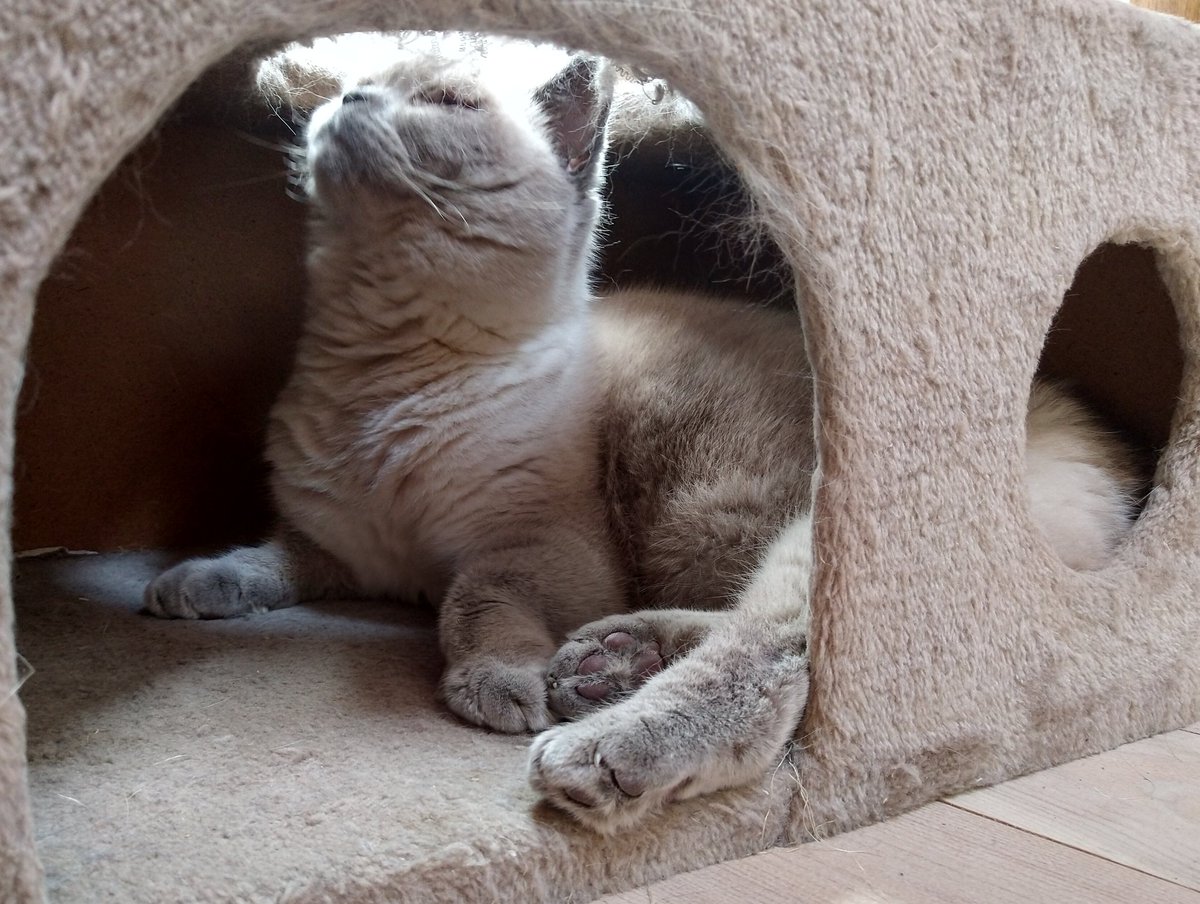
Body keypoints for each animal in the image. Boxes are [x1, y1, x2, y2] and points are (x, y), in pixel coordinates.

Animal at [142, 42, 1142, 830]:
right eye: (360, 85)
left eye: (447, 104)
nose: (345, 99)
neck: (378, 379)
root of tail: (1077, 423)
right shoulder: (343, 549)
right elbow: (268, 558)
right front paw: (191, 585)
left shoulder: (538, 549)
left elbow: (471, 599)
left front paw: (497, 687)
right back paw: (603, 663)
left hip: (777, 532)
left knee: (775, 648)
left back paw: (598, 737)